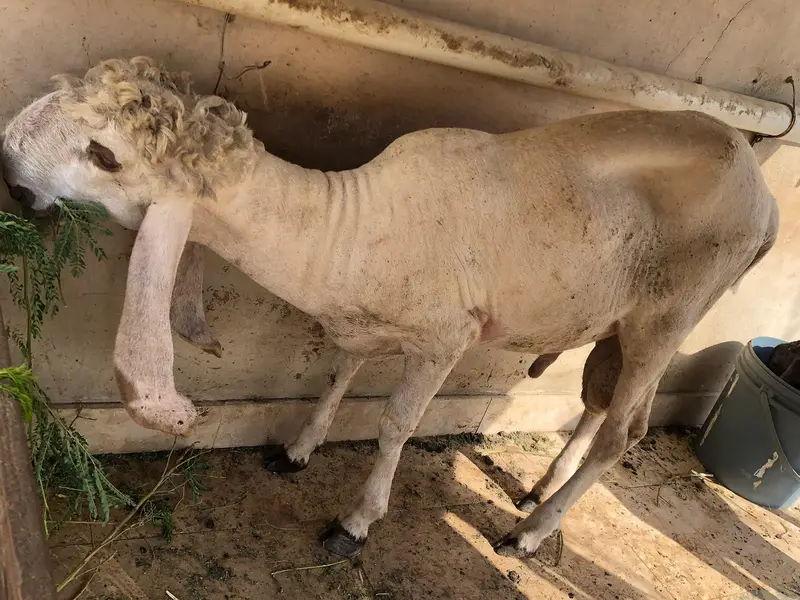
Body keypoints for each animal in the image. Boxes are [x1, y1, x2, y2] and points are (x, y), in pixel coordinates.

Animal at [1, 57, 778, 559]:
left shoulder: (444, 339)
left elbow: (396, 426)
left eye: (104, 154)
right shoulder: (358, 322)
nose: (7, 163)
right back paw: (537, 492)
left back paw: (528, 534)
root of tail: (766, 197)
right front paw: (298, 448)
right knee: (604, 402)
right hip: (619, 319)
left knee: (624, 433)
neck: (349, 223)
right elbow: (339, 373)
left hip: (670, 315)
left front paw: (355, 522)